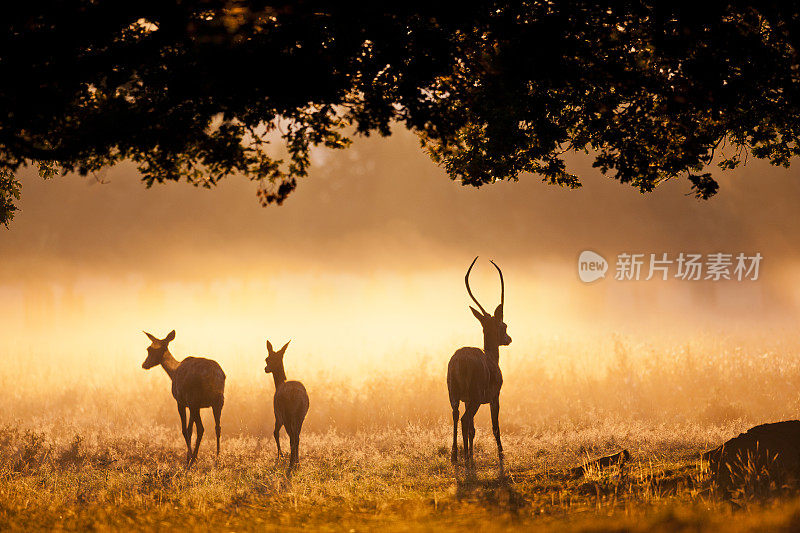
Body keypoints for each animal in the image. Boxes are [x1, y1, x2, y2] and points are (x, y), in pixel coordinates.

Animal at [141, 328, 225, 466]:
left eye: (150, 350)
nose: (144, 364)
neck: (173, 372)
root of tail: (214, 375)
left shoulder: (181, 402)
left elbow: (185, 430)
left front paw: (189, 458)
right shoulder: (192, 405)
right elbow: (192, 429)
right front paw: (189, 456)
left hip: (195, 399)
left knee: (199, 428)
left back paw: (193, 459)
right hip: (218, 400)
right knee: (217, 427)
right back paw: (217, 458)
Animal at [266, 338, 310, 468]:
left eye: (267, 359)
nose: (266, 368)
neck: (279, 384)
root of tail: (296, 395)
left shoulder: (277, 415)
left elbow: (275, 432)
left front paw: (280, 457)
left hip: (286, 415)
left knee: (291, 436)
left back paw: (291, 463)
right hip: (301, 415)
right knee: (297, 436)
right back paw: (297, 462)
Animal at [444, 258, 512, 470]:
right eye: (503, 325)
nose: (508, 339)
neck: (491, 357)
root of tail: (459, 361)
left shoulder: (465, 399)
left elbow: (473, 429)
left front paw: (471, 454)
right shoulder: (495, 397)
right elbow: (495, 426)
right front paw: (501, 455)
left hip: (454, 395)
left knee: (456, 416)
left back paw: (456, 456)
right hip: (474, 397)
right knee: (465, 419)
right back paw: (466, 458)